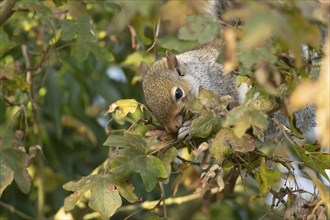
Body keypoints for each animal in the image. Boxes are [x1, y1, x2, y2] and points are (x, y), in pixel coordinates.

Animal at [139, 0, 318, 141]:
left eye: (178, 93)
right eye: (151, 108)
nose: (173, 128)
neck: (199, 74)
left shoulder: (221, 83)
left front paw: (189, 127)